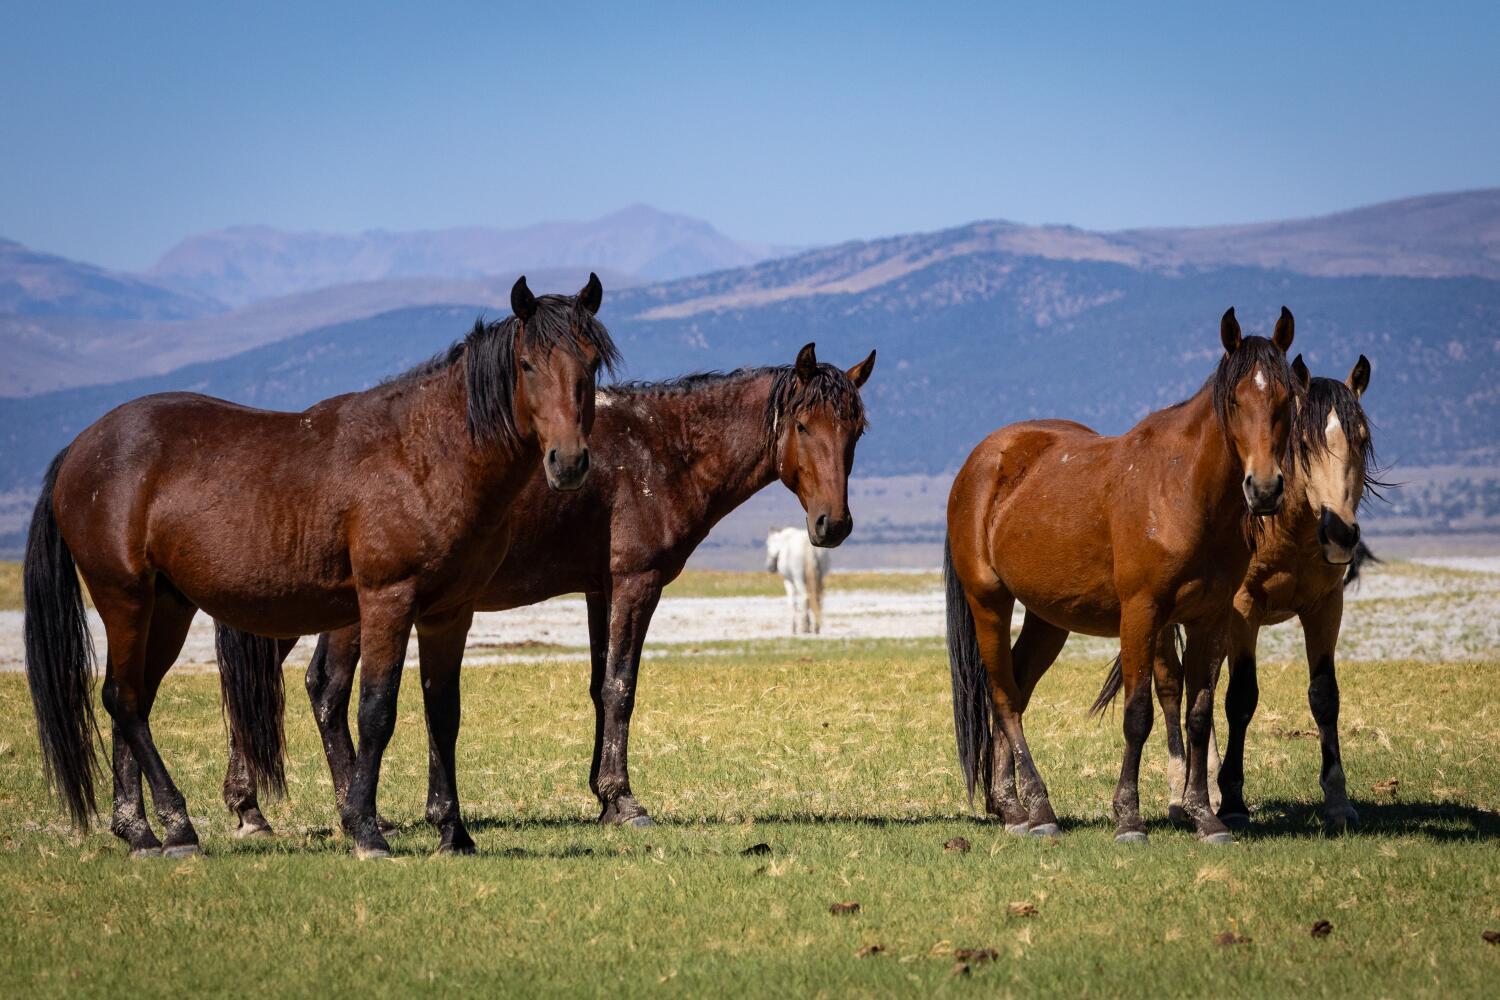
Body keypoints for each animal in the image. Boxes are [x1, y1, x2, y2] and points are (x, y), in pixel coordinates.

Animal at [22, 275, 619, 859]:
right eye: (527, 364)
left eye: (590, 363)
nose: (569, 462)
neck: (424, 454)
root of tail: (81, 447)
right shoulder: (386, 601)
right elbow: (376, 711)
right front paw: (366, 830)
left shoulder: (451, 613)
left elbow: (443, 714)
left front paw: (453, 834)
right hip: (123, 598)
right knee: (123, 700)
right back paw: (176, 828)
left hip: (167, 607)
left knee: (134, 700)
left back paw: (141, 832)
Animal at [217, 343, 876, 833]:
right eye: (802, 424)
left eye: (857, 431)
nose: (833, 524)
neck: (660, 449)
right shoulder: (635, 584)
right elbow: (620, 687)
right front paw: (624, 801)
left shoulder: (599, 590)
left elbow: (599, 687)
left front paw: (603, 797)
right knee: (324, 690)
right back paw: (342, 810)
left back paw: (252, 808)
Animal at [946, 307, 1306, 844]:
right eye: (1235, 400)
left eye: (1285, 399)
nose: (1264, 489)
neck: (1182, 489)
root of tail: (981, 462)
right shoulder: (1142, 612)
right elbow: (1138, 714)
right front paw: (1129, 817)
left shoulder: (1210, 617)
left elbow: (1199, 714)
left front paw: (1205, 816)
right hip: (988, 600)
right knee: (1005, 697)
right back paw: (1037, 809)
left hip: (1048, 619)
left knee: (1017, 690)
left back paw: (1011, 806)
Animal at [1091, 354, 1381, 831]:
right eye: (1302, 442)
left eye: (1362, 438)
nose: (1339, 532)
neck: (1286, 529)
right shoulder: (1244, 610)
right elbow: (1240, 697)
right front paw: (1230, 799)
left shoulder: (1325, 607)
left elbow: (1324, 696)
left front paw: (1338, 801)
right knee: (1171, 688)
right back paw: (1183, 792)